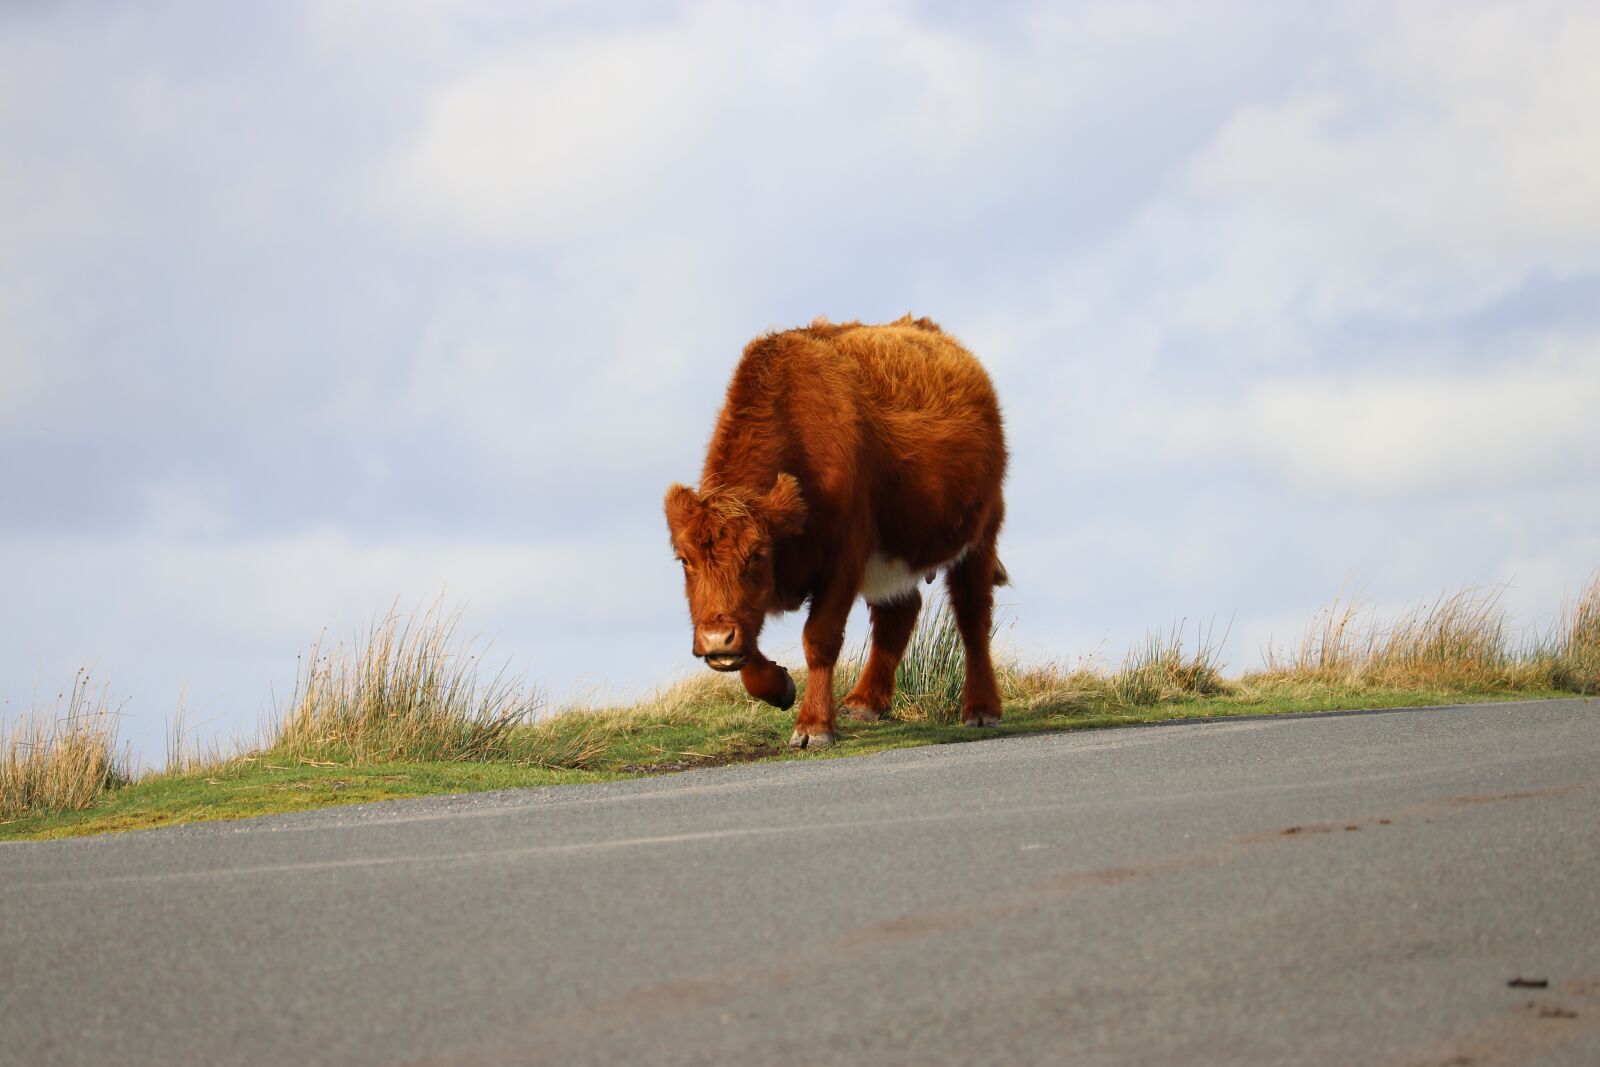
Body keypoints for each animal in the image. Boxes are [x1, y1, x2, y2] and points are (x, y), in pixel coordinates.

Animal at [664, 315, 1009, 749]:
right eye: (684, 559)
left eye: (757, 554)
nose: (715, 638)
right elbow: (749, 640)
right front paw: (780, 687)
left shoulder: (845, 557)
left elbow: (820, 638)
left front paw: (813, 725)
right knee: (900, 612)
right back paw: (864, 702)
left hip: (980, 536)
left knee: (972, 615)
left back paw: (981, 709)